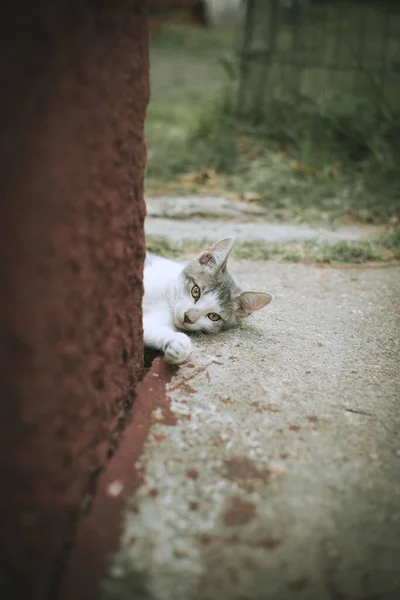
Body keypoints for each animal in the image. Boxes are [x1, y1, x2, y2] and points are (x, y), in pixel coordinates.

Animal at [142, 239, 274, 366]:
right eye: (195, 291)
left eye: (214, 316)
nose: (188, 317)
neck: (169, 297)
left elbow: (150, 329)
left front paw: (178, 346)